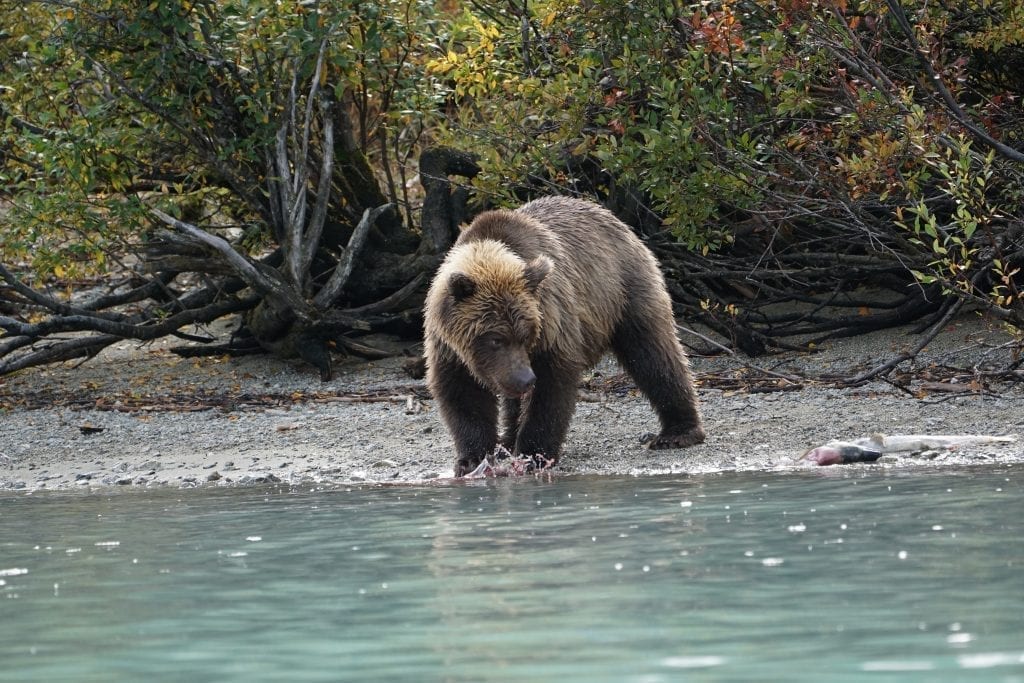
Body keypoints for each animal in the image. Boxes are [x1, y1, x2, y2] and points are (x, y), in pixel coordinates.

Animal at [419, 196, 700, 475]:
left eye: (526, 335)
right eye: (496, 339)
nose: (525, 379)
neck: (490, 249)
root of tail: (617, 221)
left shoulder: (551, 318)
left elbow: (551, 385)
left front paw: (534, 454)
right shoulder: (447, 345)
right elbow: (462, 393)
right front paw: (472, 459)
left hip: (624, 289)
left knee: (652, 353)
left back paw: (677, 432)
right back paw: (507, 441)